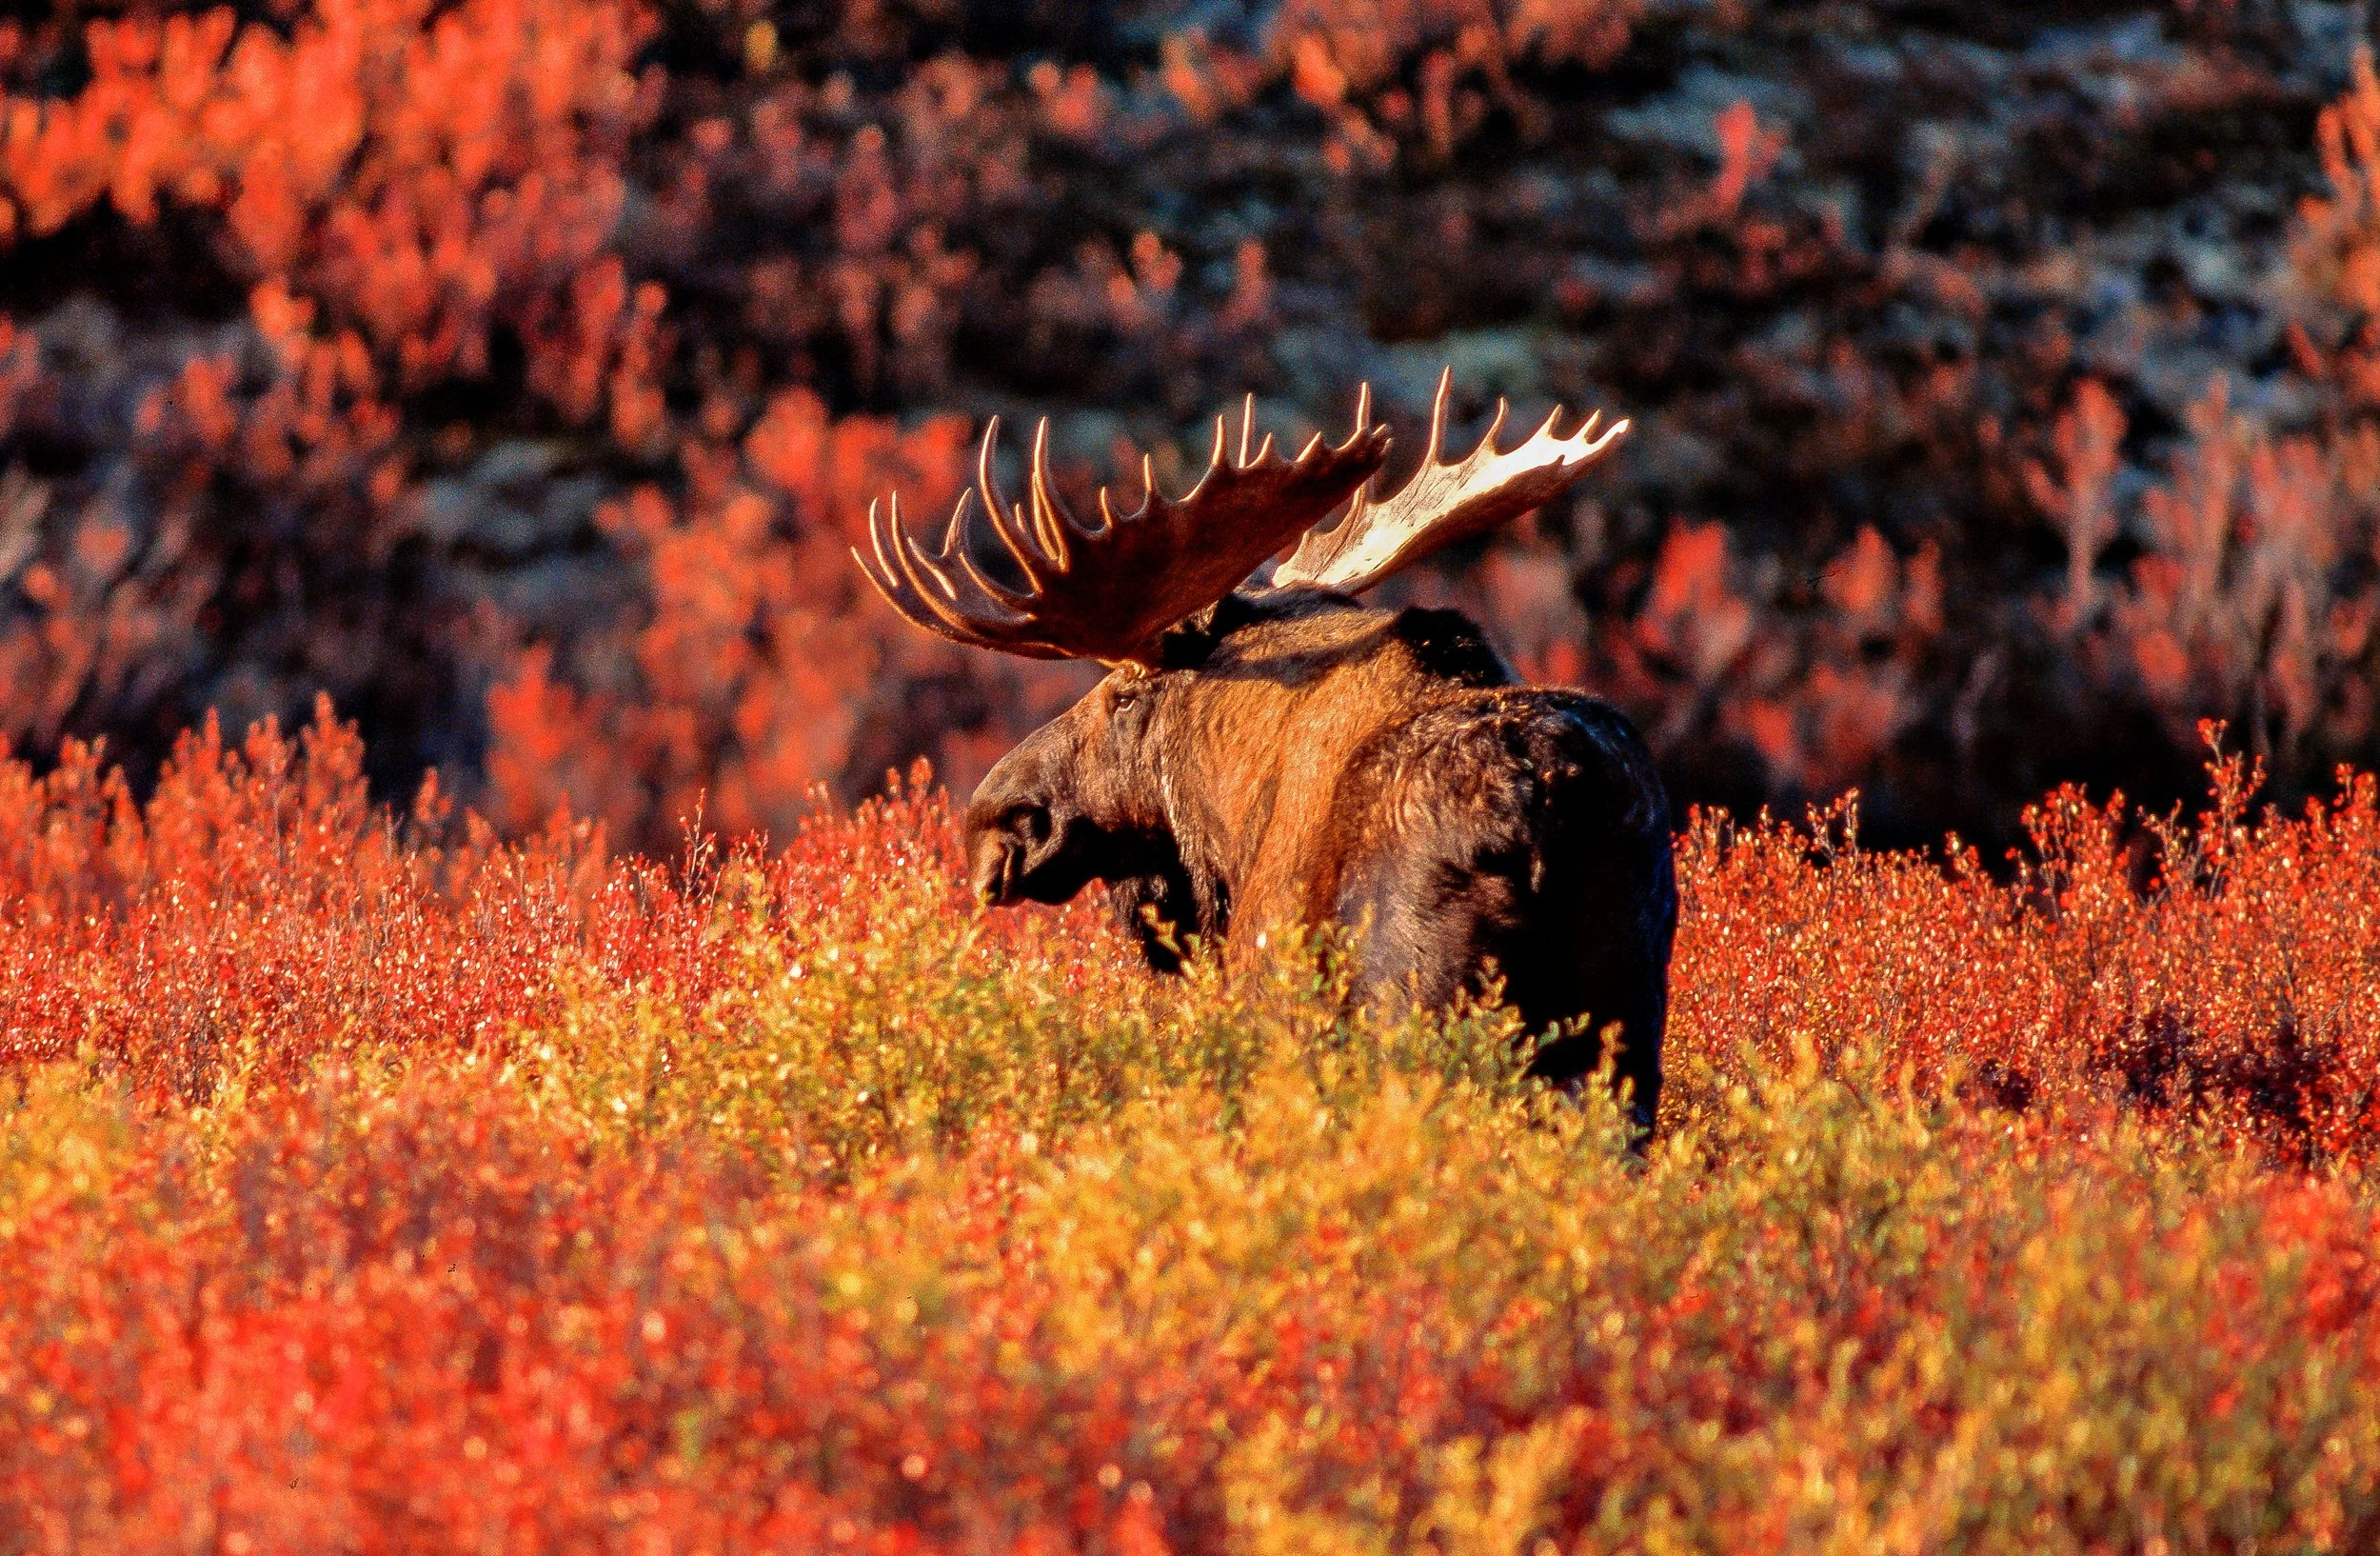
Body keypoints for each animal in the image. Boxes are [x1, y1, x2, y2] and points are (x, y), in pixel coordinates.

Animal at [855, 372, 1675, 1127]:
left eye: (1123, 695)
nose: (995, 822)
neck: (1225, 813)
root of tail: (1544, 811)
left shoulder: (1270, 982)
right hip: (1624, 1024)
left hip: (1423, 1004)